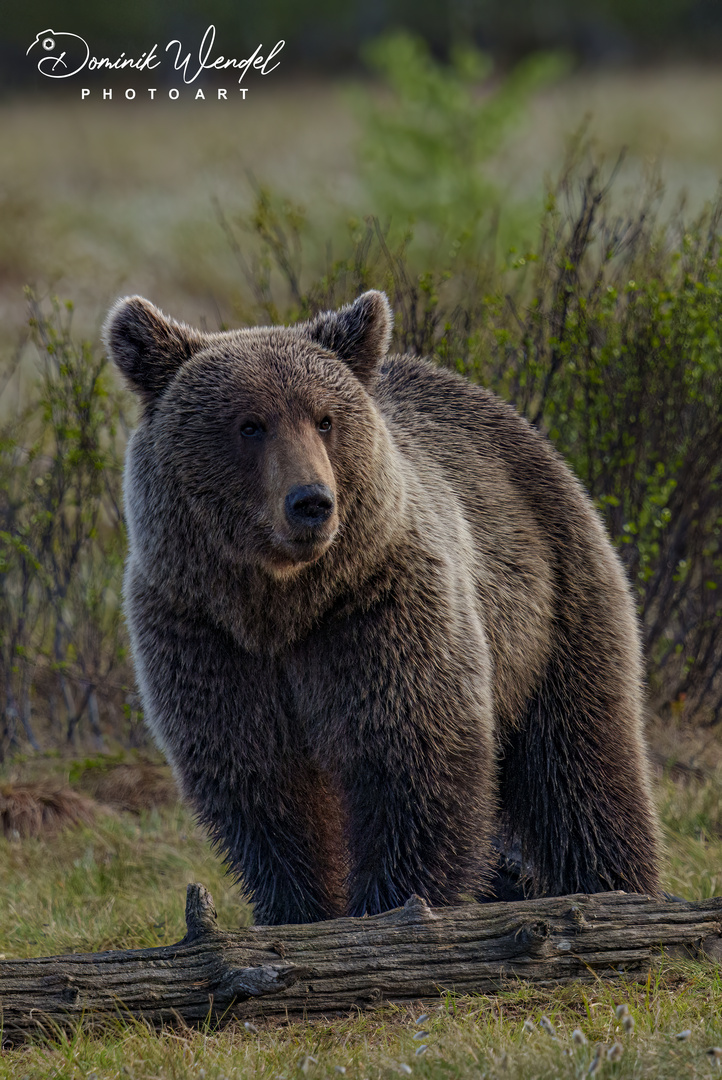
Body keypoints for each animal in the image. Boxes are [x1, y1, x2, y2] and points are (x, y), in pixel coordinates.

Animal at [102, 291, 660, 924]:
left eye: (324, 418)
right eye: (249, 424)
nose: (311, 502)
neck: (282, 607)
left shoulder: (378, 609)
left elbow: (410, 753)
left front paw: (390, 905)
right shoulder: (202, 632)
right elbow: (259, 779)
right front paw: (299, 908)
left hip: (553, 601)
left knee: (580, 763)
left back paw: (616, 887)